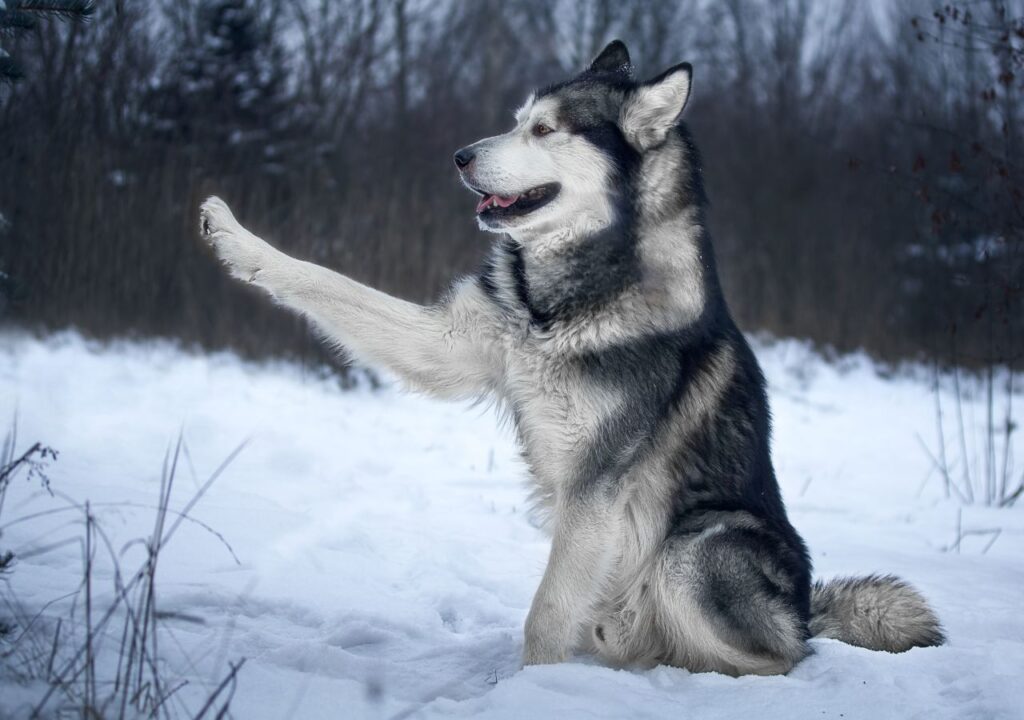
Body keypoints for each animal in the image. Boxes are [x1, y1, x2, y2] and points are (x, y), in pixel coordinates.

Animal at [199, 37, 942, 671]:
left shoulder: (596, 487)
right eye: (517, 121)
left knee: (777, 658)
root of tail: (805, 613)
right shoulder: (454, 344)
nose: (460, 156)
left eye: (545, 130)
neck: (563, 305)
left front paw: (529, 689)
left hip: (694, 549)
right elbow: (321, 279)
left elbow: (547, 613)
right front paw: (235, 239)